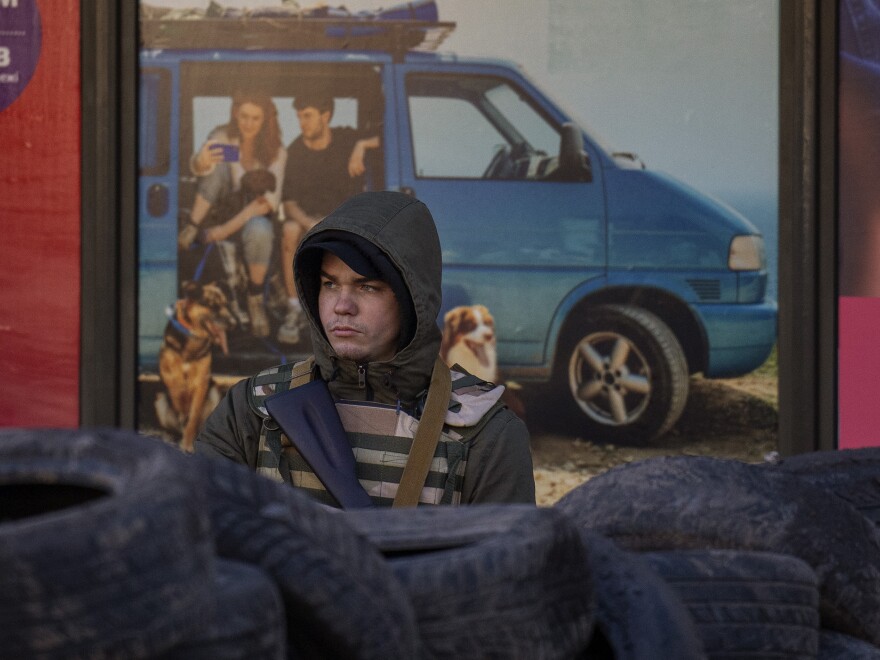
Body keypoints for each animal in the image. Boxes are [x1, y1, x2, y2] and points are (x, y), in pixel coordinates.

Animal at [156, 282, 234, 452]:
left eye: (226, 304)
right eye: (212, 305)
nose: (233, 323)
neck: (193, 336)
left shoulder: (201, 381)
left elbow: (192, 417)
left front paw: (187, 444)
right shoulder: (166, 373)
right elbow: (176, 389)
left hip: (214, 392)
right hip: (159, 400)